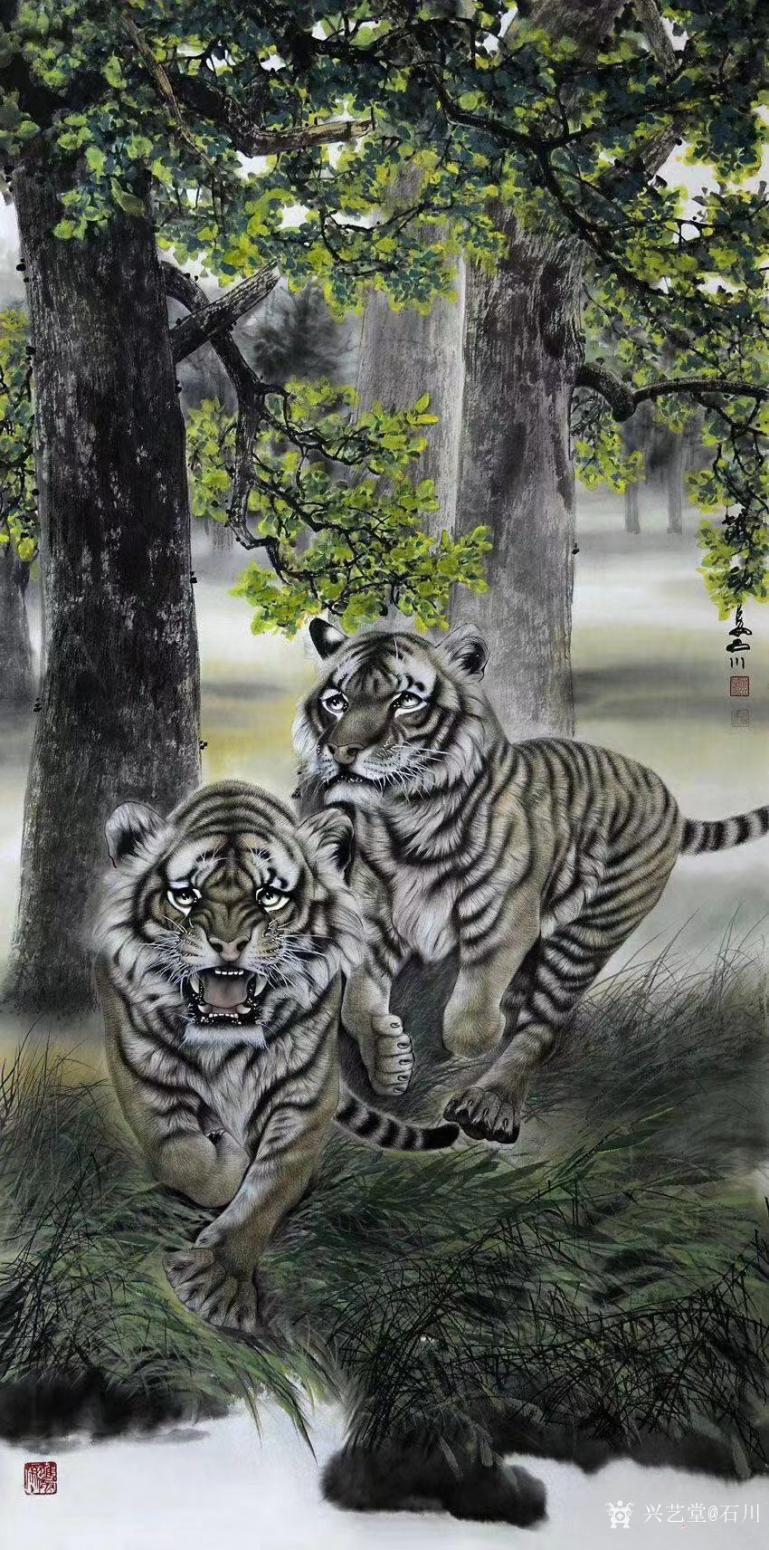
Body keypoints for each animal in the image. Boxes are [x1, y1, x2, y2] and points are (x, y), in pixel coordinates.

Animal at [94, 779, 457, 1334]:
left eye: (269, 896)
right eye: (186, 895)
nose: (227, 945)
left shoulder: (304, 1096)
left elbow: (269, 1189)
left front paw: (216, 1286)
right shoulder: (139, 1070)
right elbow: (183, 1158)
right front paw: (227, 1158)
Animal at [294, 620, 769, 1147]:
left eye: (405, 701)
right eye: (337, 700)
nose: (342, 752)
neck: (405, 814)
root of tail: (667, 798)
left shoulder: (505, 920)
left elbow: (469, 1017)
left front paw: (466, 1045)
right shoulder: (374, 915)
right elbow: (356, 999)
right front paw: (389, 1062)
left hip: (588, 934)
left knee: (541, 1028)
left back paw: (488, 1104)